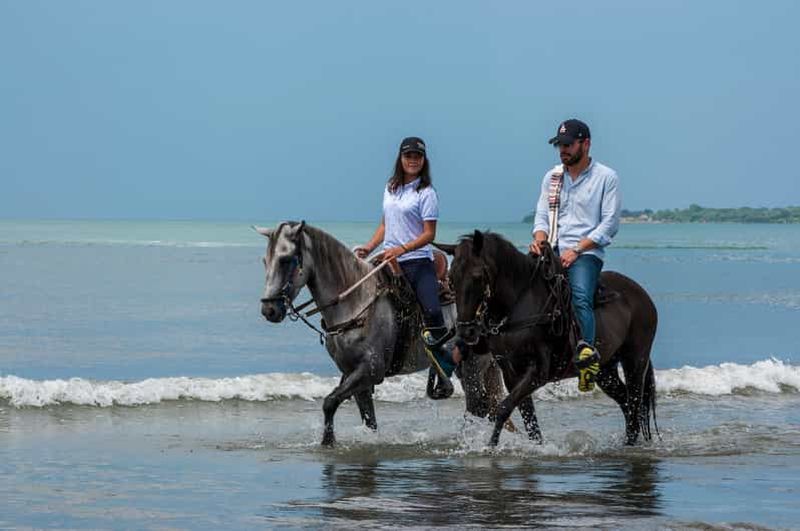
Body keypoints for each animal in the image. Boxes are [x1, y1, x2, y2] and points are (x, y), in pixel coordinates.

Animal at [256, 221, 503, 447]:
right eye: (265, 261)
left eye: (285, 260)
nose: (269, 310)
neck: (355, 303)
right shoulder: (353, 373)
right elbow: (369, 419)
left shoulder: (370, 370)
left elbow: (330, 401)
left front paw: (328, 442)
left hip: (473, 366)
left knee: (476, 407)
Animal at [437, 230, 658, 447]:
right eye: (451, 278)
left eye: (477, 276)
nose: (466, 332)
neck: (518, 305)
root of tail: (642, 295)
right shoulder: (511, 373)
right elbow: (528, 418)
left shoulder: (538, 372)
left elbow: (504, 408)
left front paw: (491, 446)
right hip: (606, 370)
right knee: (626, 403)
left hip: (635, 360)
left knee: (635, 404)